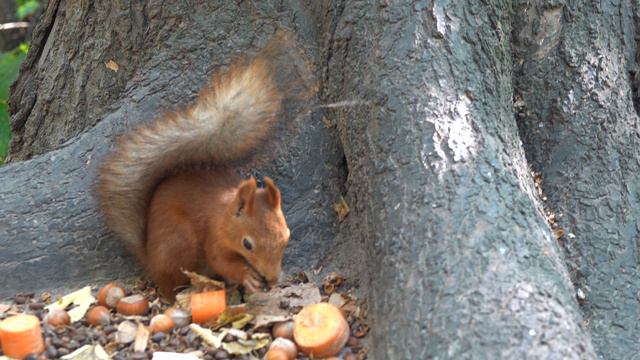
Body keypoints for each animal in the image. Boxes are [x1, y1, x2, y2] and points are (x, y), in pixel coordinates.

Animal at [95, 33, 312, 298]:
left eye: (287, 237)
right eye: (247, 244)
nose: (271, 277)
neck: (226, 216)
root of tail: (150, 261)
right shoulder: (214, 236)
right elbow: (220, 260)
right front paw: (247, 277)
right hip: (179, 243)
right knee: (173, 283)